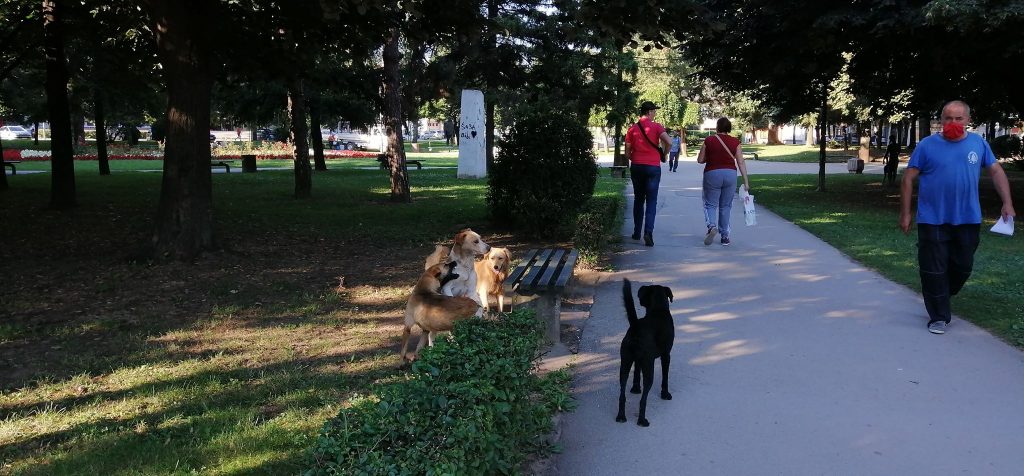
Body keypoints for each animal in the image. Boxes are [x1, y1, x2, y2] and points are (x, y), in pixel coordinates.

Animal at [614, 276, 671, 425]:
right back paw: (642, 420)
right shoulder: (666, 355)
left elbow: (636, 373)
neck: (658, 309)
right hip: (649, 368)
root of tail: (635, 327)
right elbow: (665, 376)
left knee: (622, 394)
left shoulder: (637, 360)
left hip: (625, 364)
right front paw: (665, 394)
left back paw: (621, 416)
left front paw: (635, 389)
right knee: (643, 399)